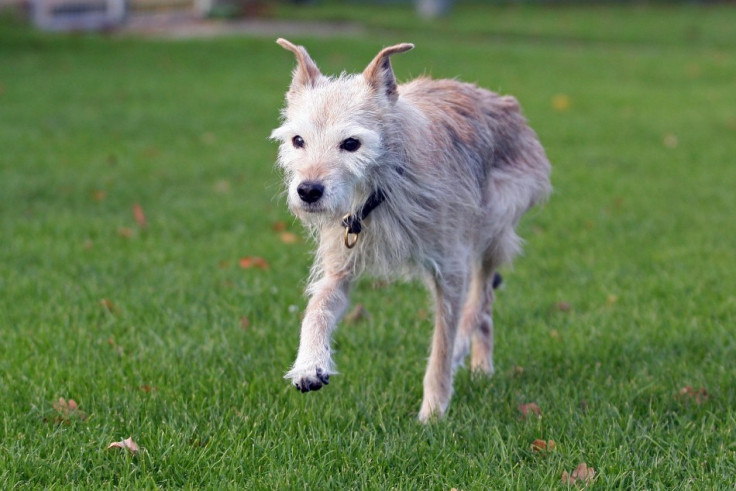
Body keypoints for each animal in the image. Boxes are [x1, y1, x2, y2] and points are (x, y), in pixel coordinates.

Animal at [272, 39, 552, 422]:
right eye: (298, 140)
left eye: (351, 143)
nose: (308, 191)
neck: (382, 187)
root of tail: (503, 102)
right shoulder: (341, 266)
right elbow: (316, 310)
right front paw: (309, 363)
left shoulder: (451, 269)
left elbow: (442, 347)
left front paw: (433, 412)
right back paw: (481, 367)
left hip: (490, 232)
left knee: (481, 300)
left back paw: (468, 352)